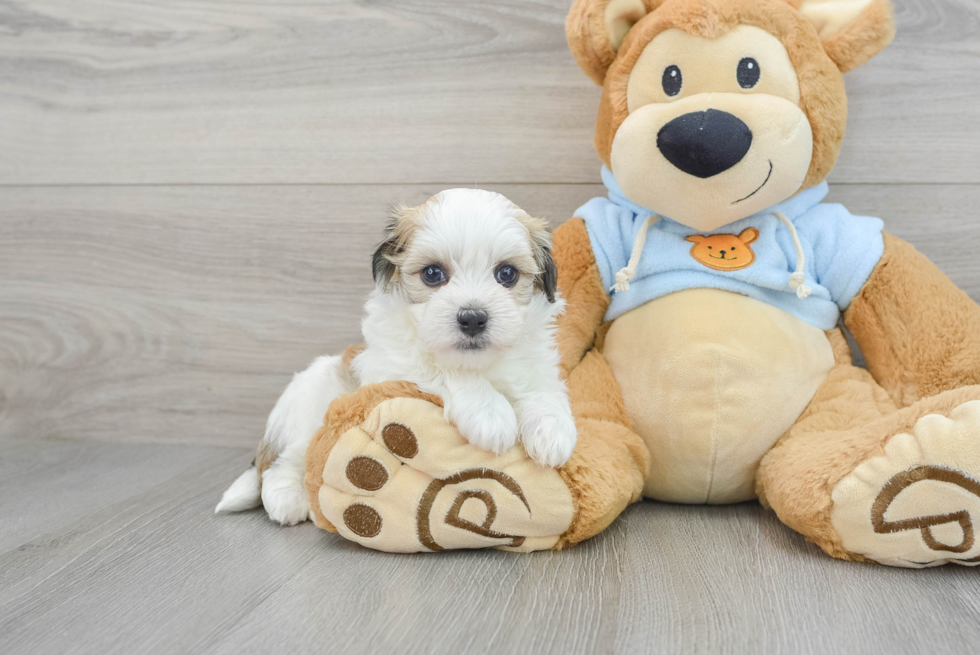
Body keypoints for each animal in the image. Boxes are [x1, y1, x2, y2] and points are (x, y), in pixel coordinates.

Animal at [218, 187, 580, 524]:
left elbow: (542, 392)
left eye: (507, 274)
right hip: (310, 408)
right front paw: (489, 412)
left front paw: (553, 431)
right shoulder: (393, 364)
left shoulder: (534, 365)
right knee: (284, 462)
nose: (473, 318)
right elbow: (441, 370)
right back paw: (288, 499)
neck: (478, 363)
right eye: (433, 274)